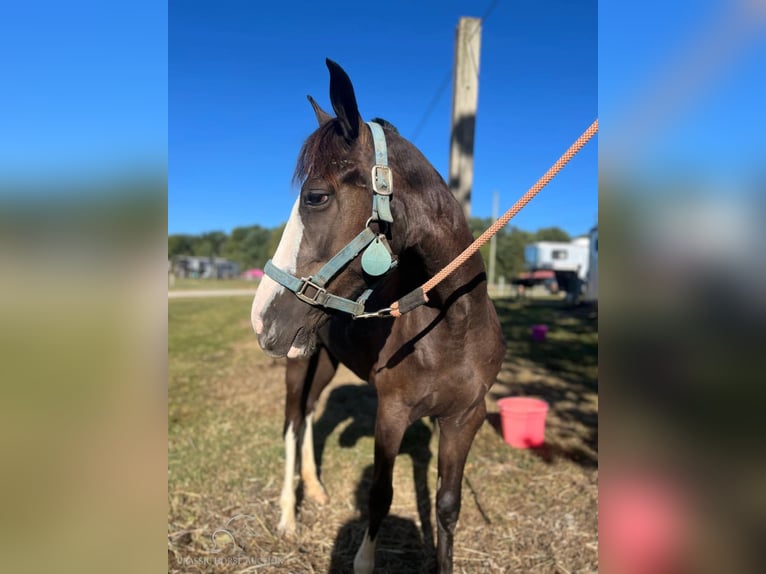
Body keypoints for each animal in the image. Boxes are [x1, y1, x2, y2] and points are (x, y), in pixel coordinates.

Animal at [250, 59, 504, 574]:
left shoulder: (465, 418)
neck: (454, 326)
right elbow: (380, 497)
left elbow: (448, 506)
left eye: (316, 196)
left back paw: (317, 491)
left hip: (322, 360)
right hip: (297, 365)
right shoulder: (392, 413)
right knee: (292, 424)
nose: (261, 318)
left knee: (309, 416)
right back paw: (288, 515)